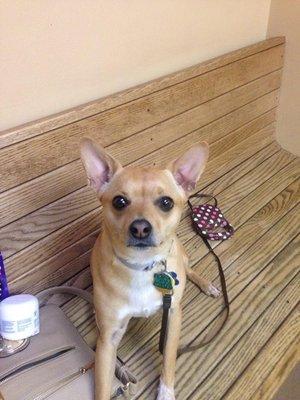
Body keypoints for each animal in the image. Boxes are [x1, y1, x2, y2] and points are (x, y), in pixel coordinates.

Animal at [79, 138, 220, 400]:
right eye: (119, 202)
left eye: (166, 202)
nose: (141, 228)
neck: (141, 266)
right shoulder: (108, 340)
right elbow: (102, 386)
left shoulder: (173, 315)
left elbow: (169, 360)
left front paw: (165, 392)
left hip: (181, 257)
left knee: (189, 269)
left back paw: (207, 285)